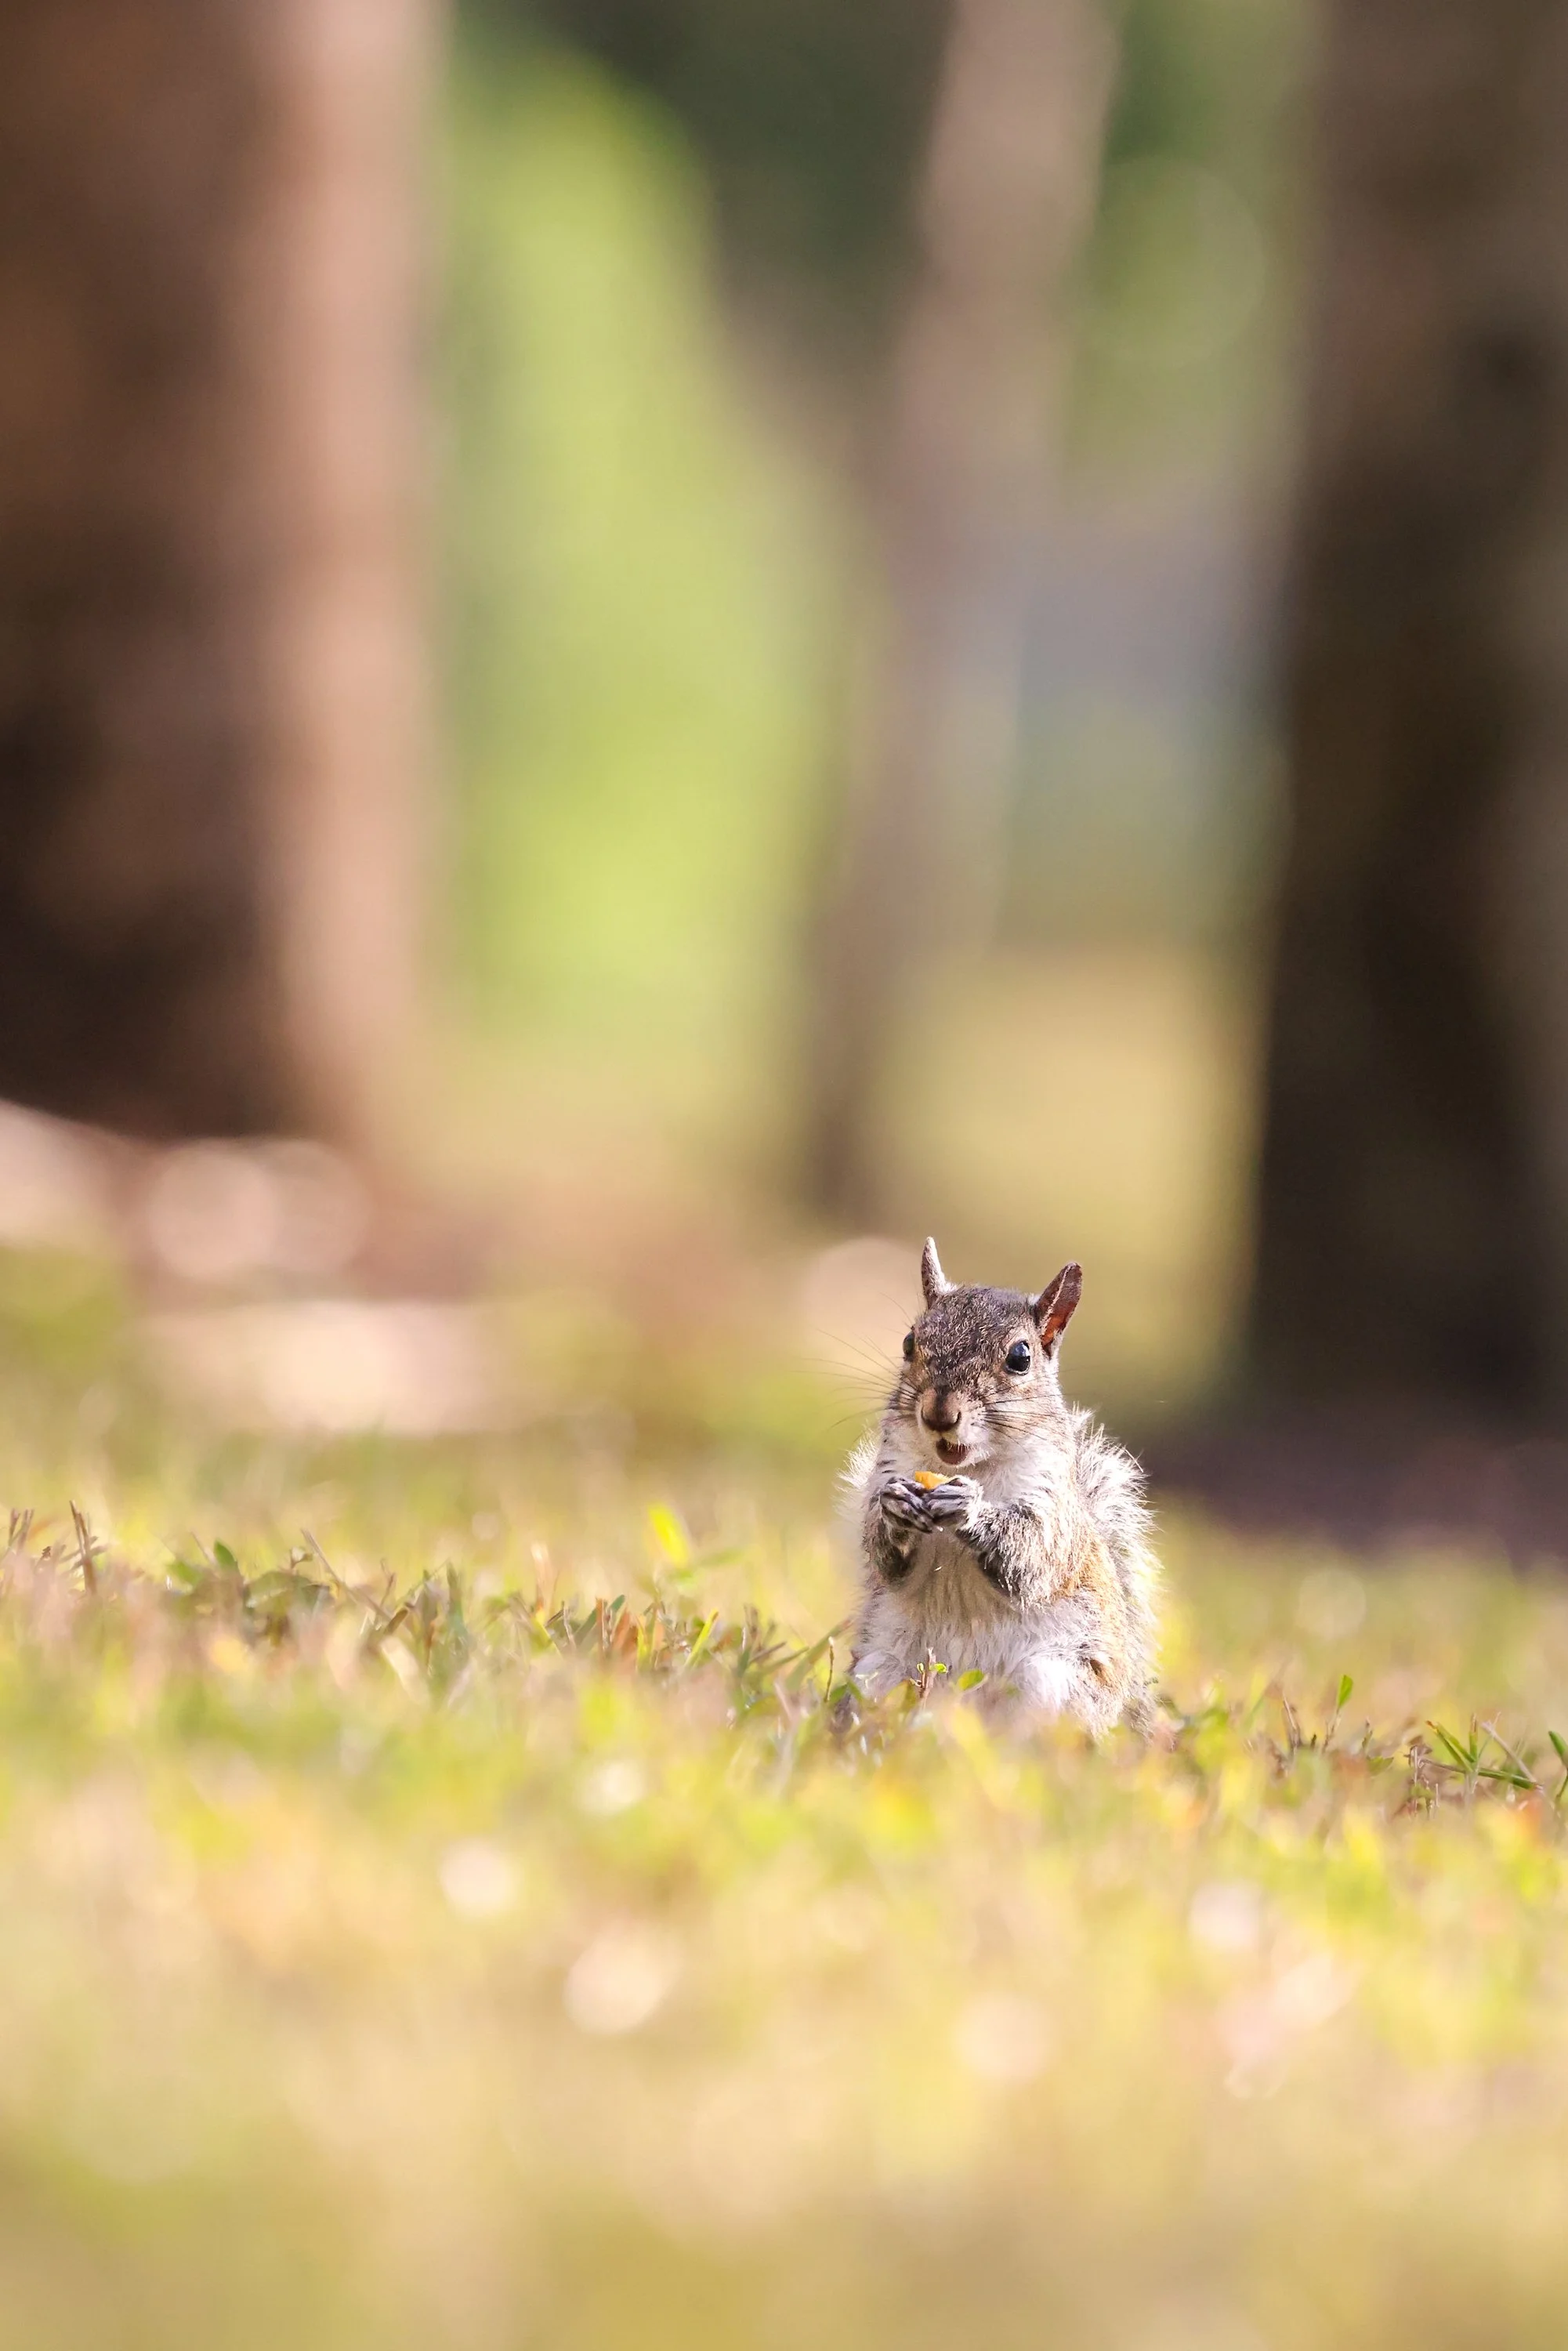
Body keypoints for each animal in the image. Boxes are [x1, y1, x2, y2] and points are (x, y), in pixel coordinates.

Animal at [845, 1238, 1159, 1735]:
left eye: (1020, 1358)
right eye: (909, 1342)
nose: (939, 1414)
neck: (975, 1466)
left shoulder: (1052, 1505)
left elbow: (1033, 1553)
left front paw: (971, 1510)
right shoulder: (889, 1468)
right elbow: (882, 1556)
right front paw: (895, 1508)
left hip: (1053, 1682)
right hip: (880, 1673)